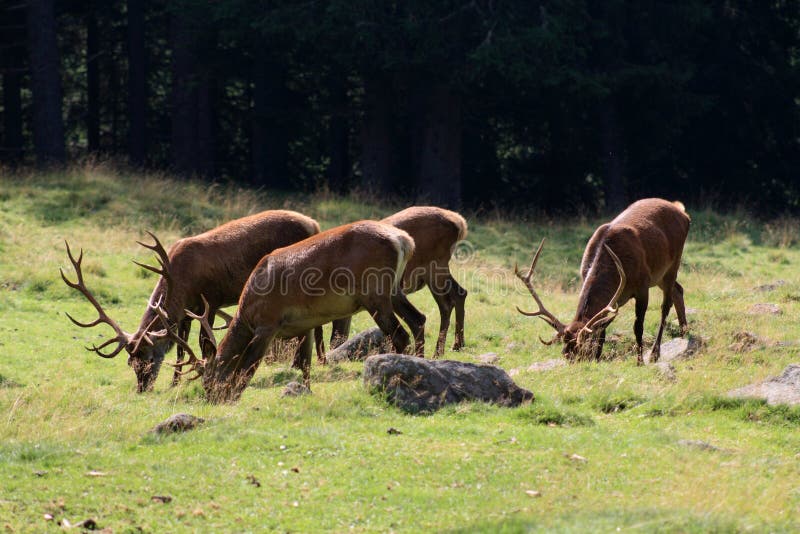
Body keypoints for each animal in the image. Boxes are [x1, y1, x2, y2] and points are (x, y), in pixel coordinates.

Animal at [61, 210, 322, 394]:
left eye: (149, 359)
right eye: (130, 363)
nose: (142, 388)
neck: (181, 282)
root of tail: (314, 224)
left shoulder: (212, 301)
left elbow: (203, 343)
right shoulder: (186, 313)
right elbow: (180, 348)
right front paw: (175, 382)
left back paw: (317, 361)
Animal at [159, 220, 428, 404]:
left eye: (210, 379)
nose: (213, 399)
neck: (248, 311)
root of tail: (404, 240)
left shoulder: (267, 323)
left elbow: (248, 365)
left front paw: (235, 395)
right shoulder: (305, 323)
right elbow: (305, 364)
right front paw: (306, 391)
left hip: (375, 293)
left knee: (400, 334)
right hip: (394, 290)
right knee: (418, 320)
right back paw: (422, 365)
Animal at [322, 207, 466, 358]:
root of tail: (459, 222)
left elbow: (336, 337)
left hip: (434, 265)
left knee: (449, 300)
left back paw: (444, 349)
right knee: (457, 295)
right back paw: (453, 346)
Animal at [516, 199, 692, 366]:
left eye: (583, 349)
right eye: (565, 353)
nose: (577, 366)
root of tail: (683, 213)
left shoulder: (642, 285)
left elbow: (638, 327)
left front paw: (640, 362)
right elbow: (602, 331)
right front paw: (598, 358)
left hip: (672, 264)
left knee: (665, 306)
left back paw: (656, 353)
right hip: (659, 276)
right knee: (679, 290)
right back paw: (684, 332)